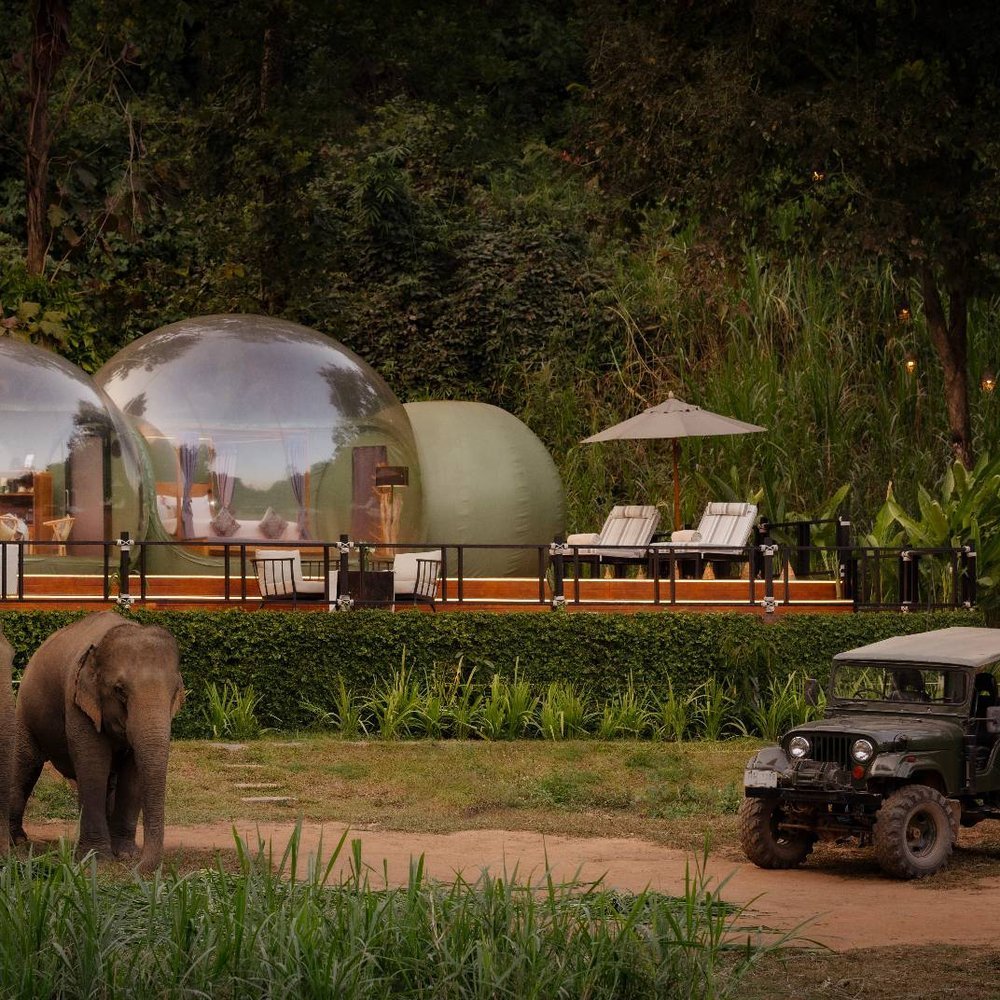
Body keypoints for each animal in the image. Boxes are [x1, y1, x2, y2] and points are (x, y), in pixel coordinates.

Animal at [10, 611, 184, 873]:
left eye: (175, 691)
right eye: (120, 690)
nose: (139, 869)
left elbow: (132, 773)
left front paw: (126, 854)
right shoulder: (77, 704)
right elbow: (94, 765)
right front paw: (97, 858)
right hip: (25, 710)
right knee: (26, 765)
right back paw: (17, 841)